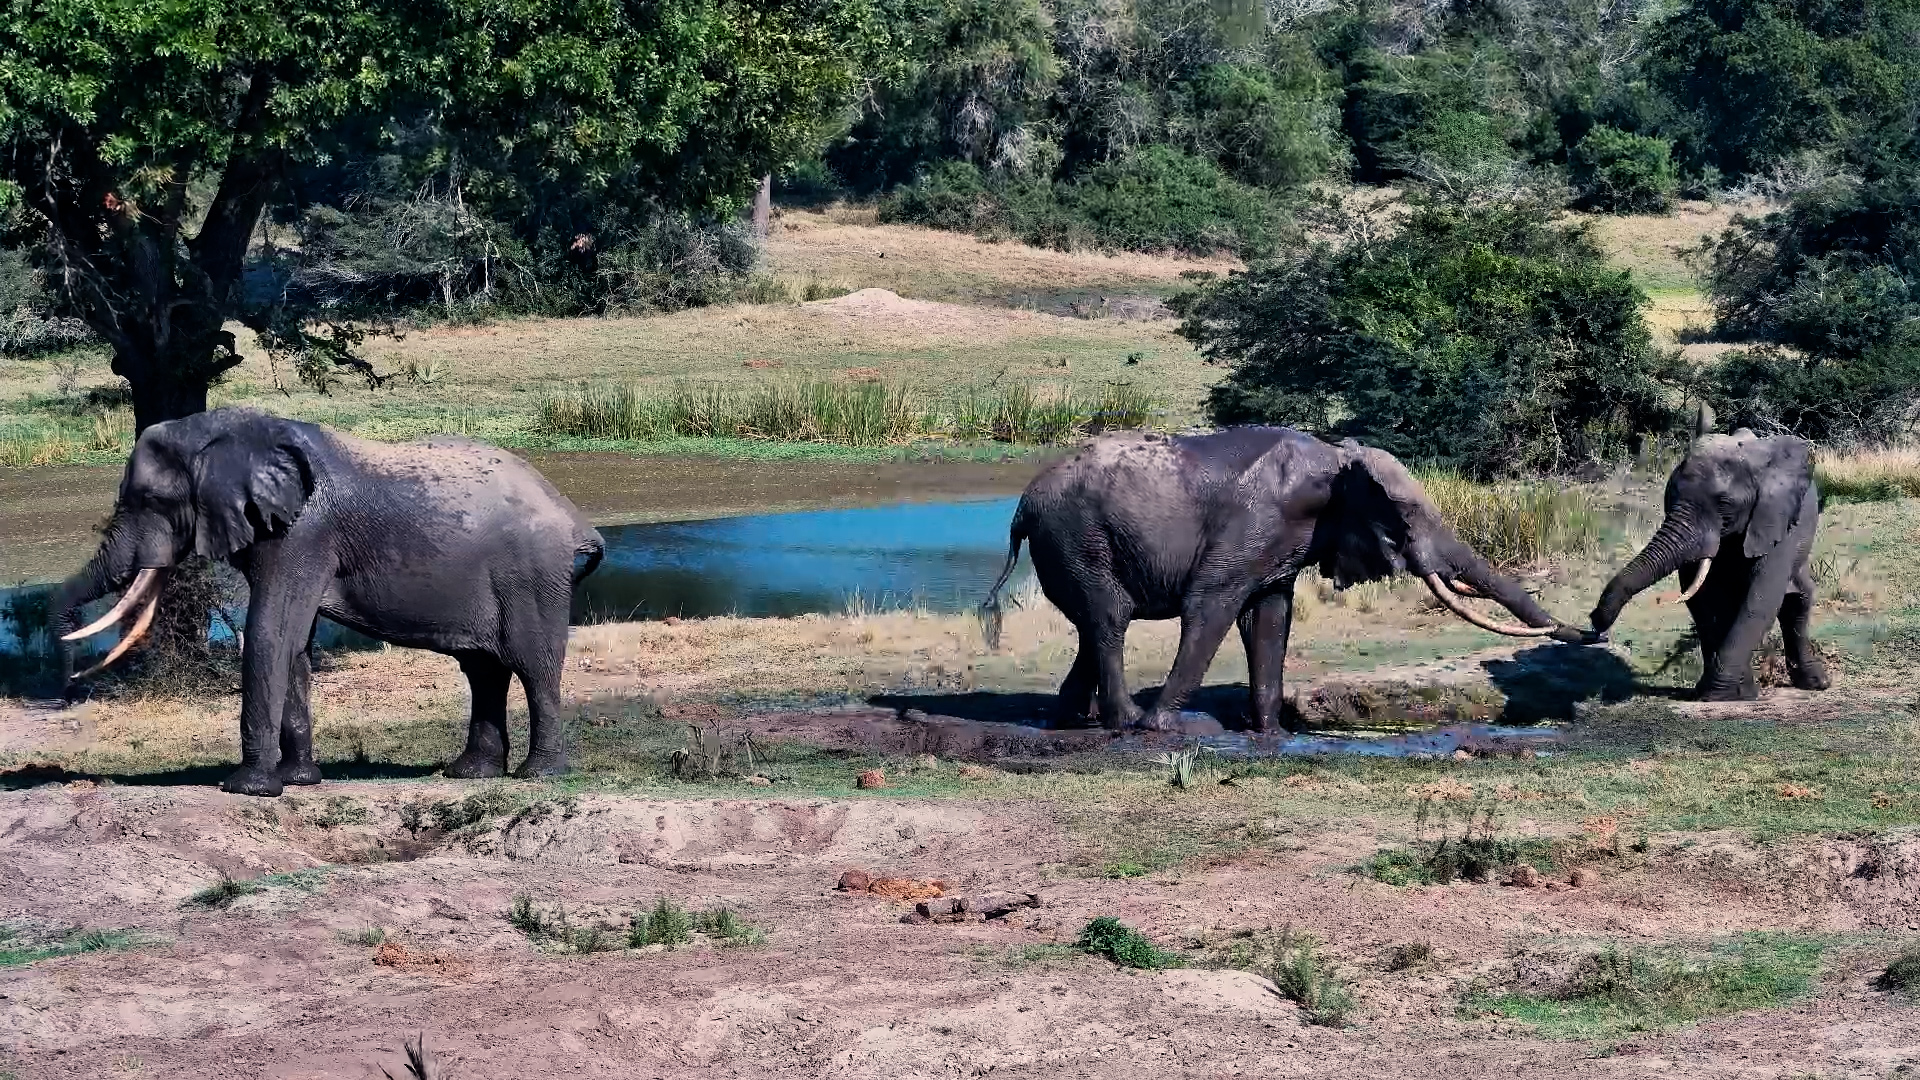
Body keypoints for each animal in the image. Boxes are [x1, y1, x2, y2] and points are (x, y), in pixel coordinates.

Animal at [55, 407, 605, 795]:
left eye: (150, 501)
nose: (72, 675)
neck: (229, 430)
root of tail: (578, 522)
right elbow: (295, 643)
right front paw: (299, 781)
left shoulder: (302, 532)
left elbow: (271, 632)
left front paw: (247, 789)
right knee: (483, 669)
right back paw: (469, 774)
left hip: (533, 576)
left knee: (533, 665)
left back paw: (538, 776)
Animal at [980, 428, 1582, 732]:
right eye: (1406, 515)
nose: (1589, 630)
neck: (1337, 460)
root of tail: (1021, 507)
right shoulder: (1254, 521)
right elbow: (1212, 605)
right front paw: (1160, 729)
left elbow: (1271, 616)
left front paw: (1269, 732)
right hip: (1078, 538)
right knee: (1109, 619)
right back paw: (1126, 721)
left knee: (1093, 624)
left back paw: (1072, 720)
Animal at [1588, 406, 1829, 700]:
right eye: (1669, 495)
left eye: (1724, 504)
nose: (1595, 623)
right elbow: (1703, 600)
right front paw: (1730, 692)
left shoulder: (1775, 521)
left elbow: (1760, 600)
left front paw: (1719, 694)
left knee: (1797, 600)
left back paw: (1817, 683)